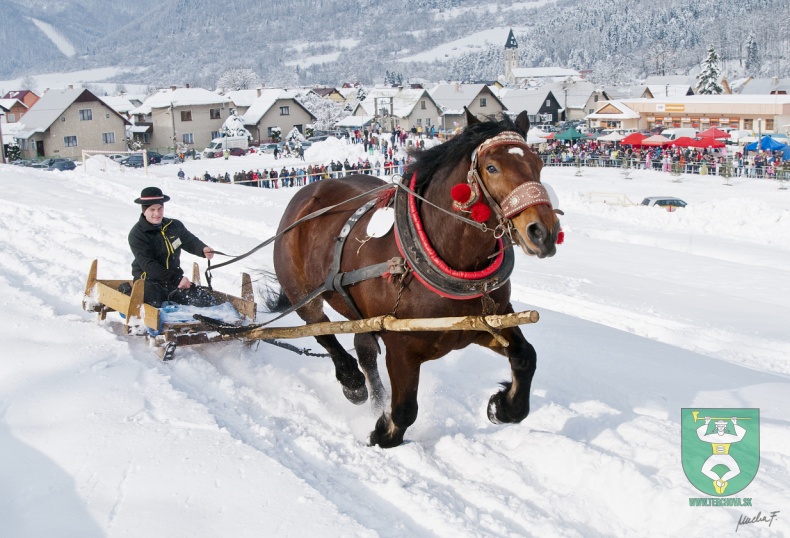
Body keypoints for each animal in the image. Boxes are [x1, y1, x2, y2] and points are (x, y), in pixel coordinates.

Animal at [276, 111, 560, 446]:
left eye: (539, 163)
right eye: (492, 167)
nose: (543, 233)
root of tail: (309, 192)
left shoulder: (486, 321)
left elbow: (525, 356)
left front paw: (504, 407)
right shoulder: (400, 346)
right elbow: (404, 409)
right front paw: (383, 432)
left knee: (363, 348)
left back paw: (375, 398)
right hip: (301, 292)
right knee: (320, 330)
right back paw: (352, 381)